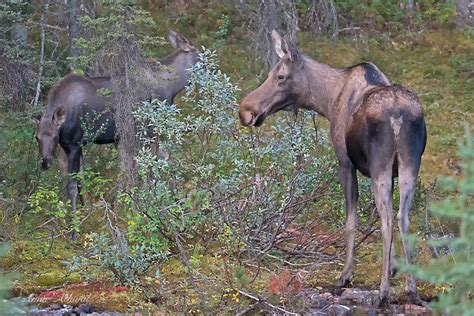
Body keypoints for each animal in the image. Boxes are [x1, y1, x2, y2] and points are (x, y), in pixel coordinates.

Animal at [34, 29, 198, 238]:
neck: (170, 88)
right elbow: (78, 181)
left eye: (54, 136)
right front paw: (82, 213)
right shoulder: (75, 145)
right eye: (36, 138)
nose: (45, 162)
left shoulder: (75, 144)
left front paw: (75, 228)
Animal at [239, 29, 428, 306]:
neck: (327, 101)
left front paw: (346, 274)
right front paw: (393, 267)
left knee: (387, 221)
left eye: (280, 76)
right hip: (409, 166)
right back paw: (411, 289)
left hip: (380, 166)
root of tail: (397, 115)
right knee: (402, 217)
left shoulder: (345, 163)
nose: (246, 110)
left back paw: (383, 293)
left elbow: (351, 220)